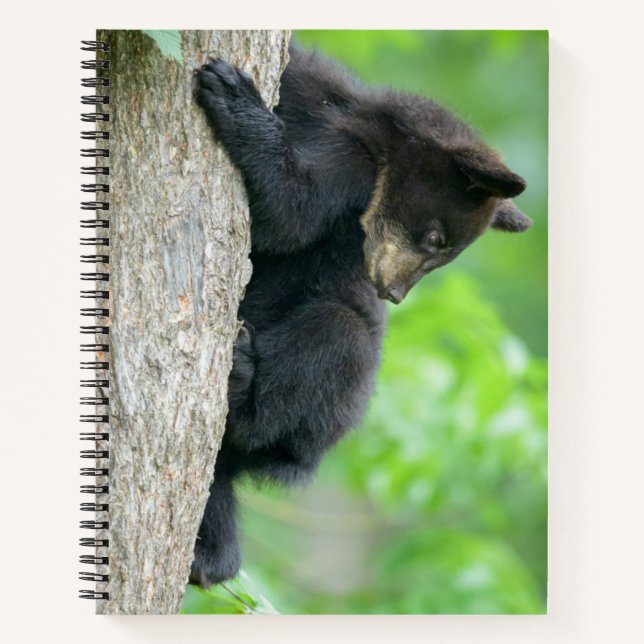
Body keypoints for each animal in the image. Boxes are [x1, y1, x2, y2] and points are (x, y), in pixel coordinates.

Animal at [190, 45, 532, 587]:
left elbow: (290, 215)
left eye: (443, 252)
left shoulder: (352, 174)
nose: (392, 293)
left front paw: (234, 96)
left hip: (332, 404)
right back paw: (209, 554)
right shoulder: (315, 95)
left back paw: (242, 384)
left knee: (332, 341)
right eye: (435, 239)